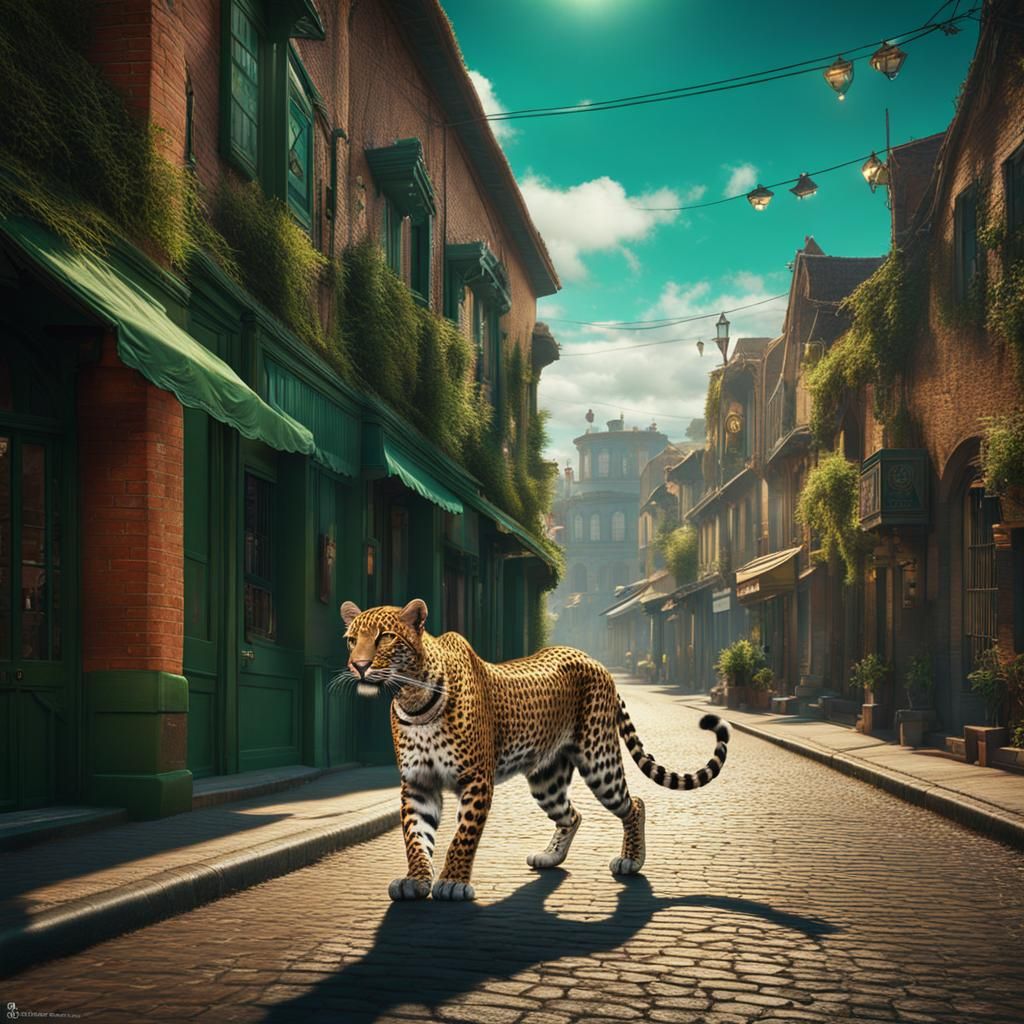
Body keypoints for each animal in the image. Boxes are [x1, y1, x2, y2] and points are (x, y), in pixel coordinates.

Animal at [335, 598, 730, 903]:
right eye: (352, 640)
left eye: (385, 637)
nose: (359, 665)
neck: (413, 698)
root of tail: (594, 661)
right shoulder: (418, 784)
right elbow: (415, 836)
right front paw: (416, 880)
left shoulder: (476, 780)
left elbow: (462, 836)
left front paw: (453, 882)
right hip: (546, 779)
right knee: (572, 814)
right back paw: (550, 857)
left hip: (599, 760)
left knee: (634, 804)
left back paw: (631, 861)